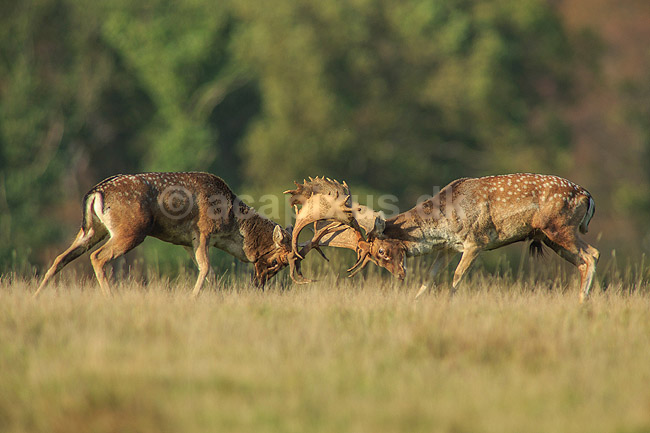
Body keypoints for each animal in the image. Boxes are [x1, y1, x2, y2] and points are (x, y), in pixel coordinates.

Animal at [35, 172, 322, 297]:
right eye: (277, 261)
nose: (260, 284)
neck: (231, 225)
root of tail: (95, 193)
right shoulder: (203, 231)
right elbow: (205, 268)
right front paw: (193, 297)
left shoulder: (187, 241)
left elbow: (208, 271)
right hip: (130, 230)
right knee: (98, 257)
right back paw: (111, 297)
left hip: (92, 229)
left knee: (61, 258)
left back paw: (38, 294)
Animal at [286, 174, 600, 303]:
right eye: (375, 258)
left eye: (382, 252)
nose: (399, 276)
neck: (444, 223)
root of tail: (588, 196)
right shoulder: (448, 248)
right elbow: (430, 277)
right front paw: (415, 300)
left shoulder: (476, 241)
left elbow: (456, 278)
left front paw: (449, 302)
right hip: (550, 237)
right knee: (584, 260)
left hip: (559, 227)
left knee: (592, 254)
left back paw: (581, 304)